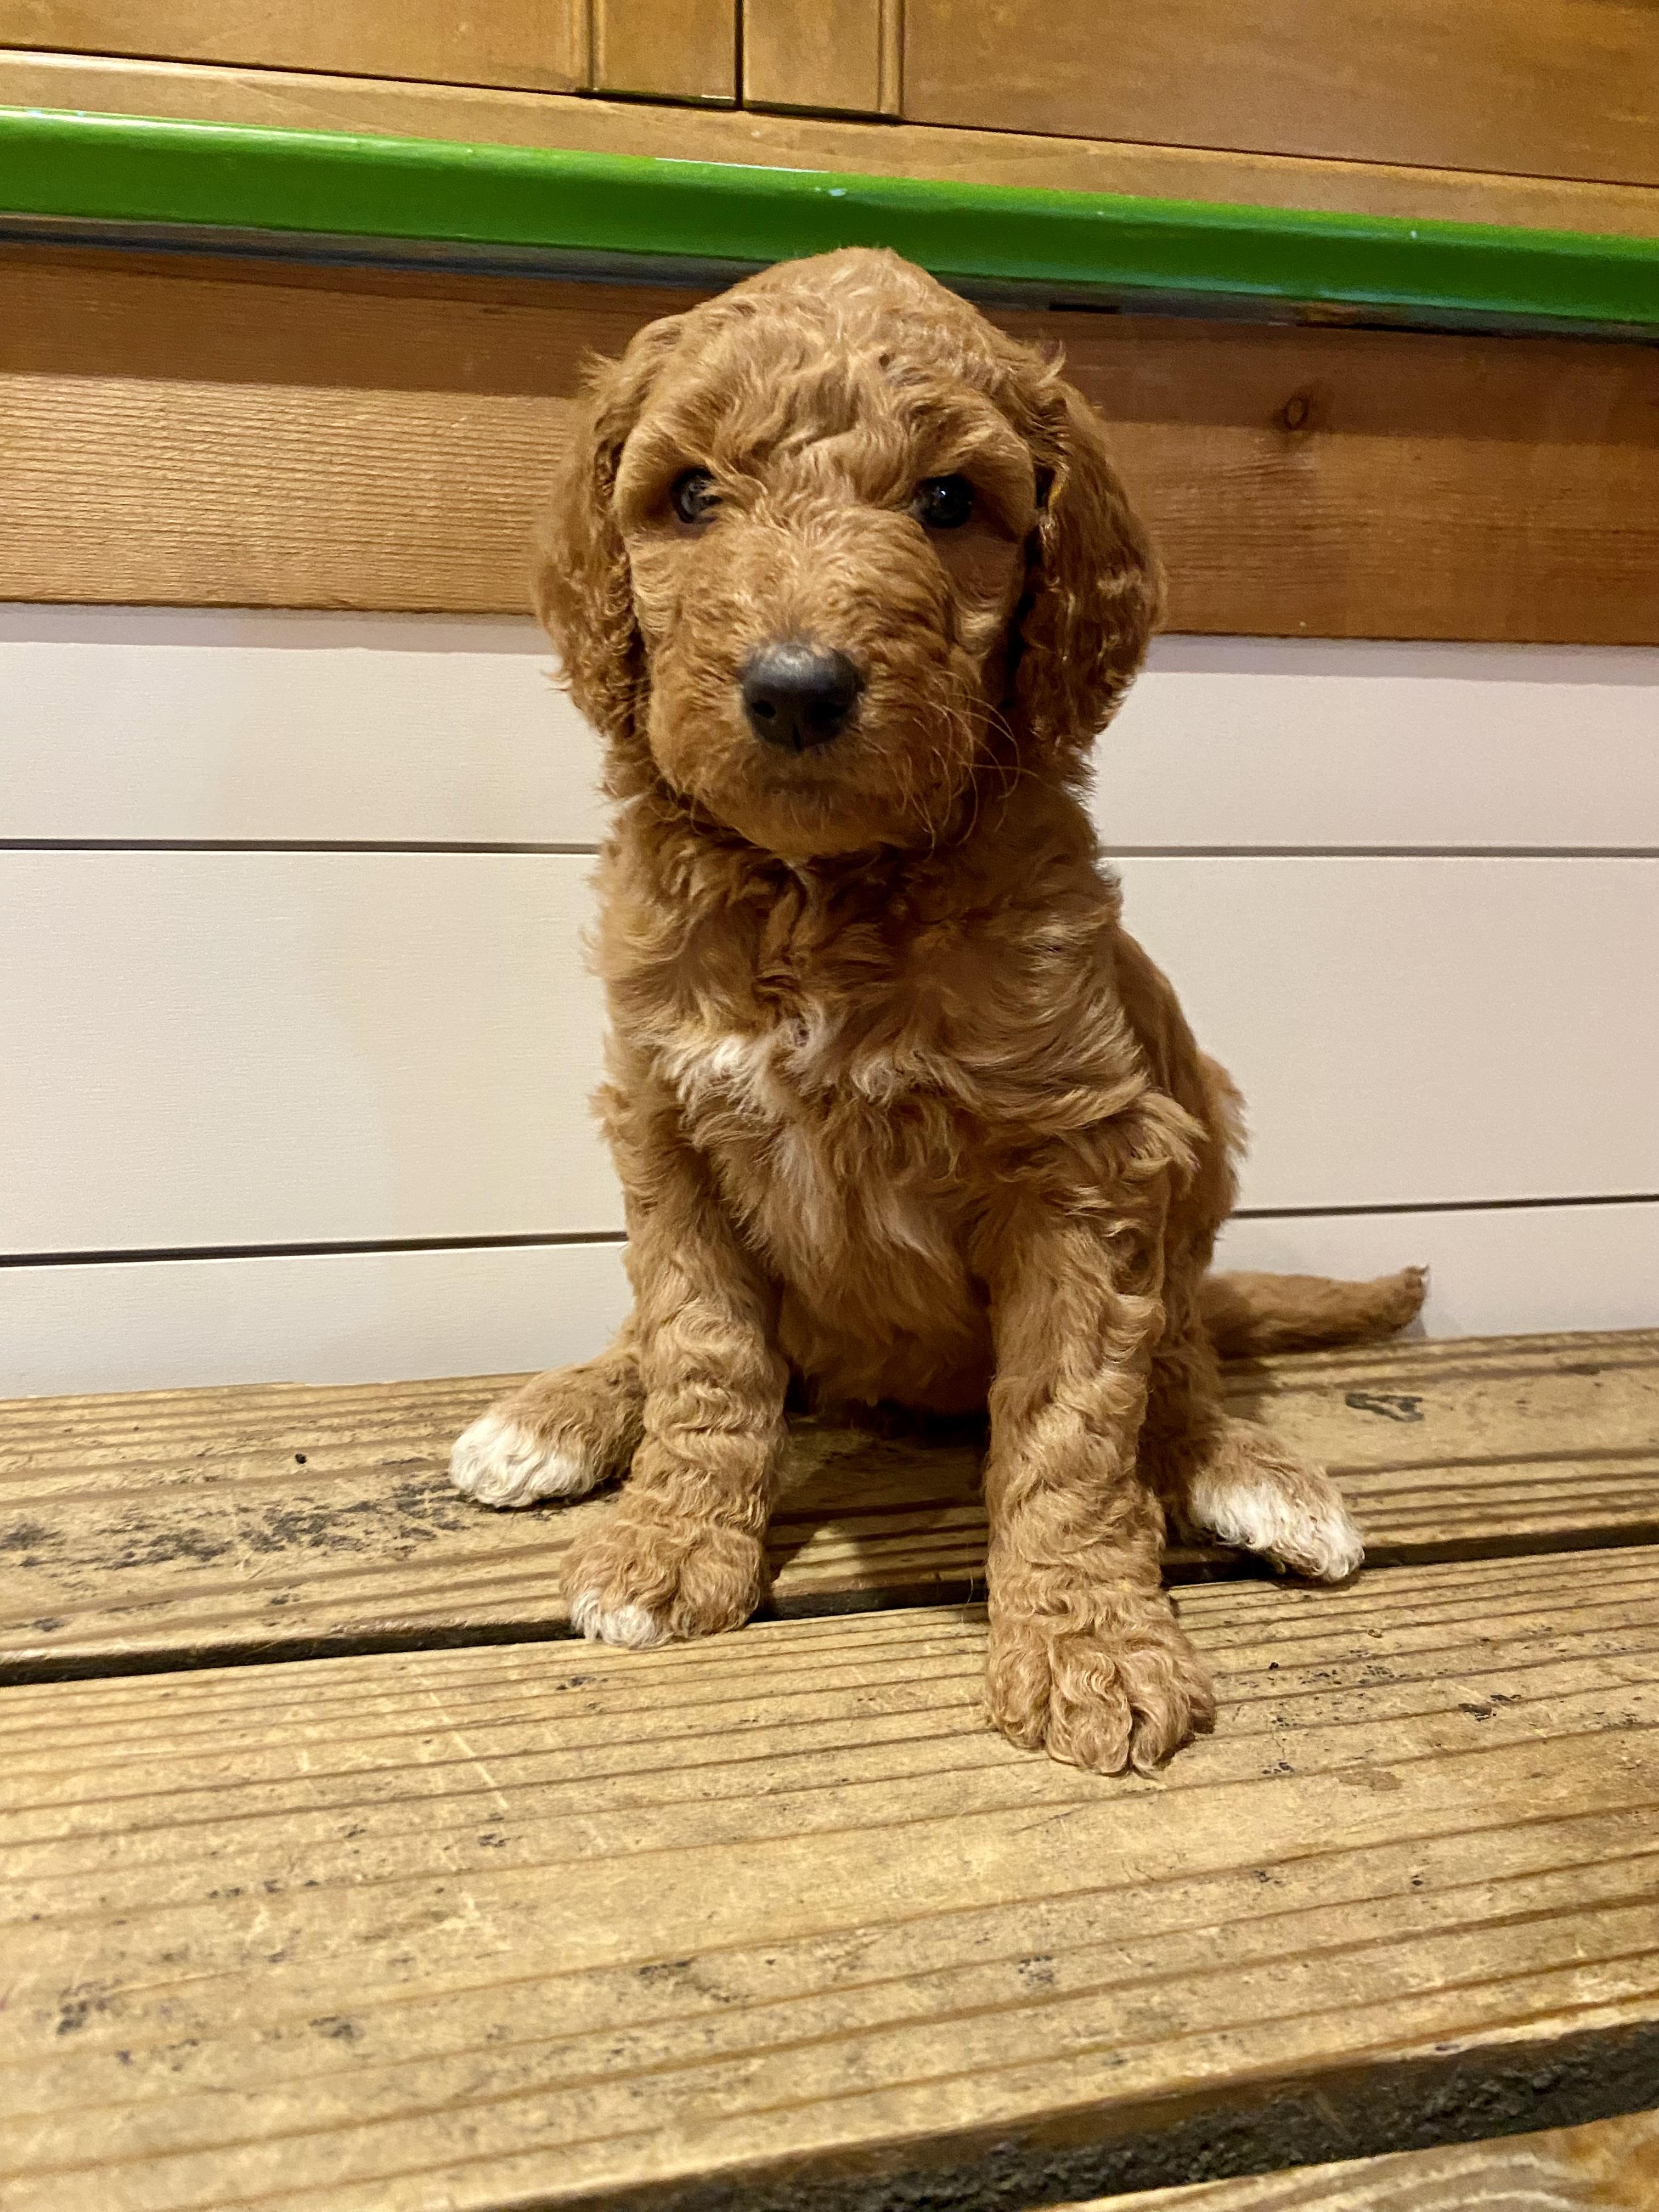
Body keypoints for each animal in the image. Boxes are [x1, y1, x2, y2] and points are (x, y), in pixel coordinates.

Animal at [450, 247, 1424, 1773]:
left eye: (951, 503)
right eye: (690, 497)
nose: (796, 689)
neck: (827, 891)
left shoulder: (1088, 1161)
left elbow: (1076, 1419)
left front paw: (1090, 1644)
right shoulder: (669, 1124)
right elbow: (701, 1353)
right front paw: (673, 1545)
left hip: (1198, 1132)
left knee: (1184, 1355)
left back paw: (1249, 1470)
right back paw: (562, 1410)